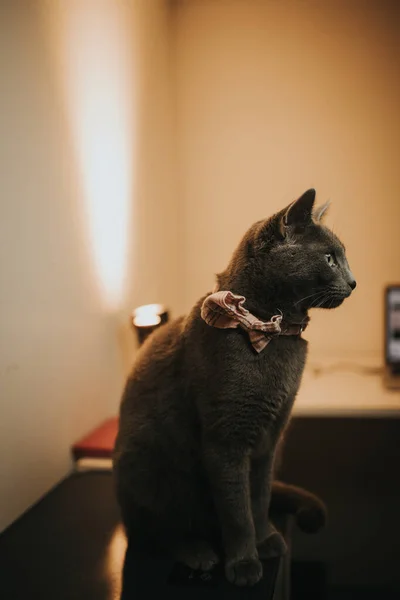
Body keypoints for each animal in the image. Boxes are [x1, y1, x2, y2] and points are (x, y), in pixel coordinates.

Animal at [113, 191, 356, 584]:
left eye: (342, 255)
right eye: (329, 257)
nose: (353, 281)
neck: (274, 332)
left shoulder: (270, 438)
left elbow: (258, 499)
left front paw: (267, 539)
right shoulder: (226, 439)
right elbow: (237, 510)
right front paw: (243, 563)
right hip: (147, 466)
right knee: (152, 533)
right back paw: (198, 553)